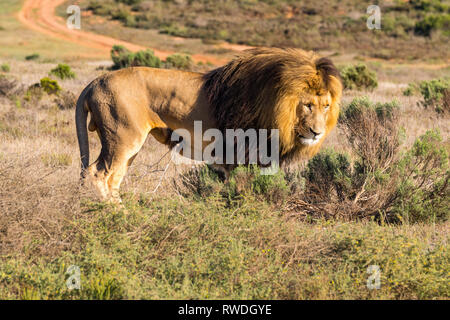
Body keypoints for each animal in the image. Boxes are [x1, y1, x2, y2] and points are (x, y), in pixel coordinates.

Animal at [76, 47, 342, 202]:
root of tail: (95, 81)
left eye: (326, 106)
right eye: (307, 105)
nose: (316, 133)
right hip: (123, 137)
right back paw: (118, 216)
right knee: (98, 173)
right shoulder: (243, 156)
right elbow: (245, 192)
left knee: (113, 178)